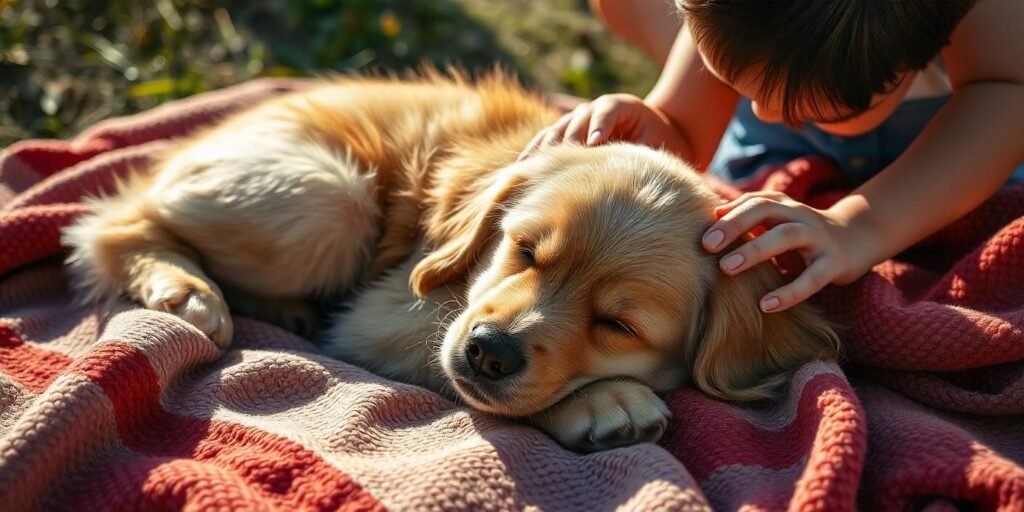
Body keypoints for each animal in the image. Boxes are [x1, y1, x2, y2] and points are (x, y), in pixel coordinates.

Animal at [61, 72, 839, 452]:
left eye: (619, 325)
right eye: (523, 250)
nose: (489, 351)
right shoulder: (386, 315)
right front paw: (602, 402)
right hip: (332, 198)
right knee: (113, 224)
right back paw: (186, 289)